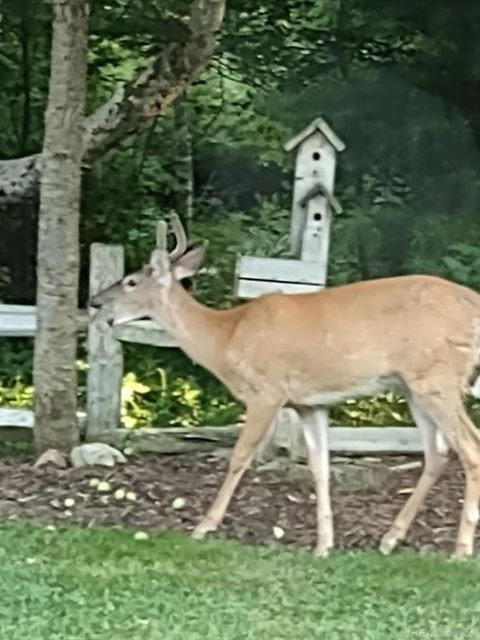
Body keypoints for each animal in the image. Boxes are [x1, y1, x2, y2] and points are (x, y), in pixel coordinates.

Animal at [88, 212, 480, 556]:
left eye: (131, 281)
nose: (94, 302)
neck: (226, 337)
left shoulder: (266, 392)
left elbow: (239, 457)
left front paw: (204, 526)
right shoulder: (309, 403)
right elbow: (320, 469)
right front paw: (324, 545)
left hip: (437, 377)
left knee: (469, 447)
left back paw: (459, 550)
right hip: (412, 386)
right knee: (437, 453)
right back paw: (390, 539)